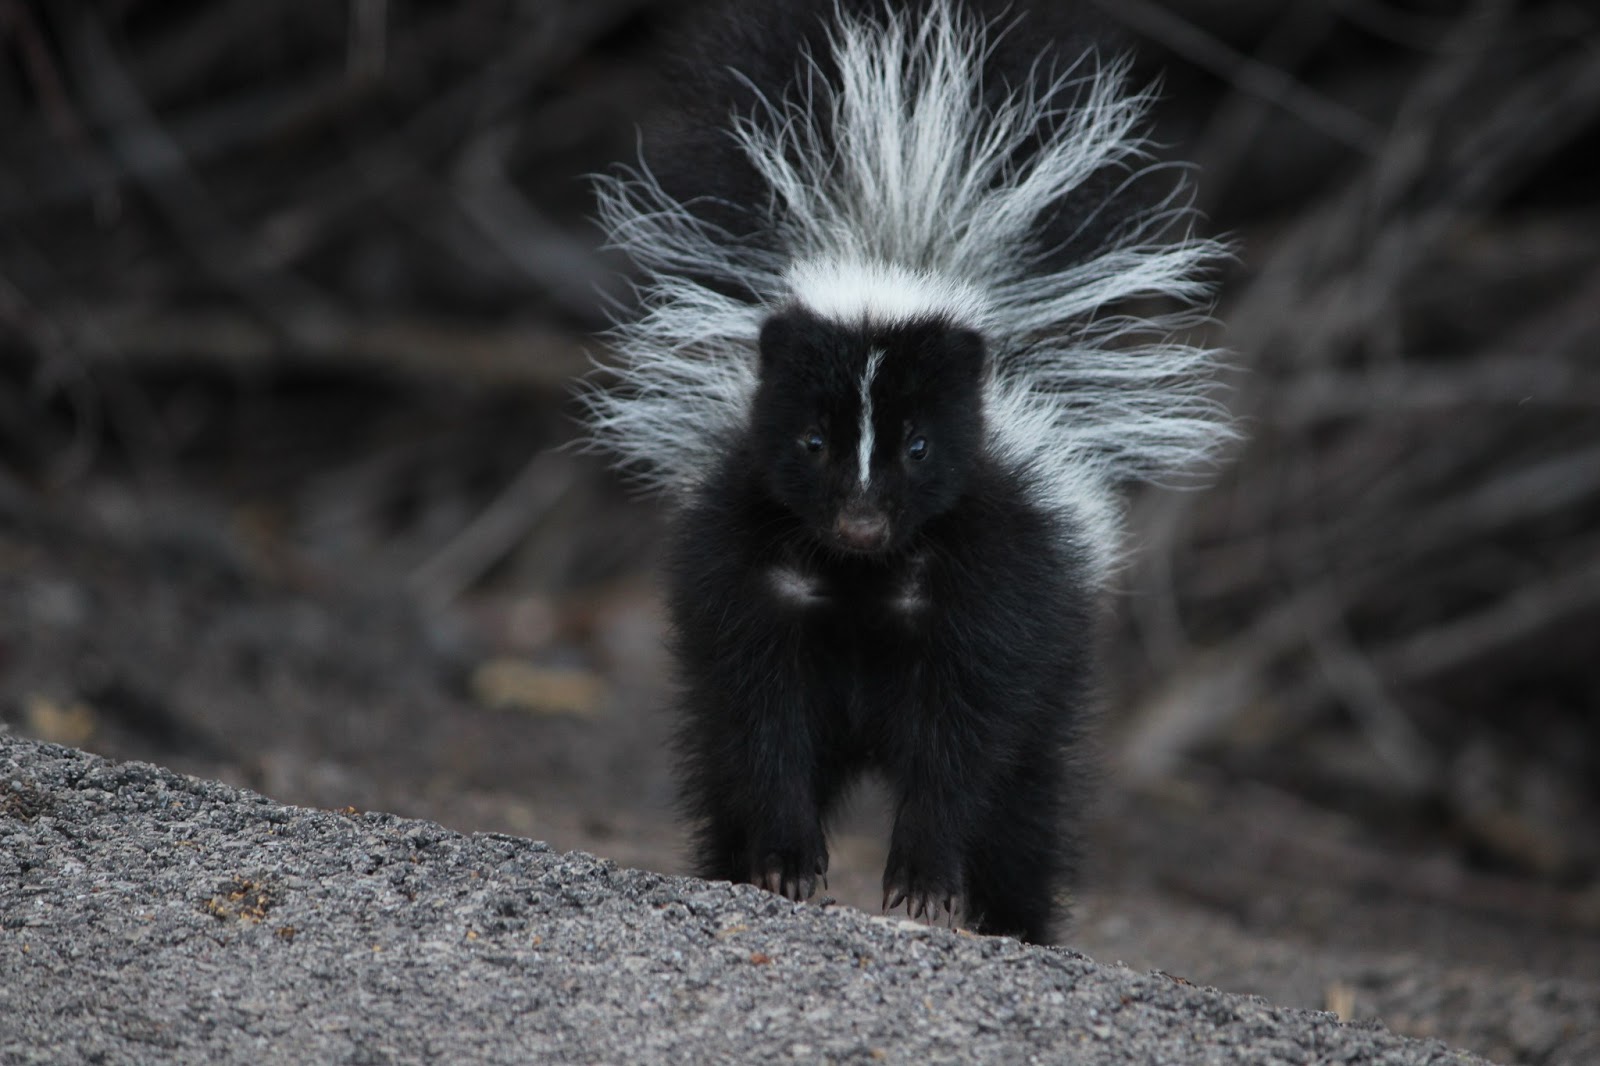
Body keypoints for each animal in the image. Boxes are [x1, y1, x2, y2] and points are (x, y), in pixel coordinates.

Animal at [585, 0, 1222, 941]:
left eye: (918, 446)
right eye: (813, 442)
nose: (860, 518)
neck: (865, 574)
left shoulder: (993, 588)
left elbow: (962, 748)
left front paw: (923, 884)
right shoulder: (748, 576)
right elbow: (764, 722)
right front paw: (786, 864)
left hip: (1056, 667)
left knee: (1024, 801)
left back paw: (1016, 921)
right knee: (725, 766)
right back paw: (734, 865)